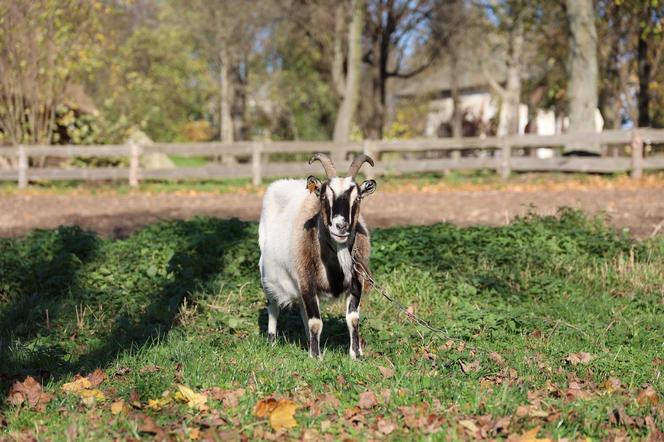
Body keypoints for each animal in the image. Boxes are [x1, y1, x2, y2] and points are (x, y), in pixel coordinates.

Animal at [258, 154, 376, 358]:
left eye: (358, 197)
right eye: (323, 196)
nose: (341, 226)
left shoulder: (356, 281)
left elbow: (352, 318)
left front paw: (356, 354)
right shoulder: (307, 281)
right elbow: (316, 322)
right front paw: (316, 357)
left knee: (303, 310)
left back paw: (307, 341)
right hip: (267, 278)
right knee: (273, 306)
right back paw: (272, 341)